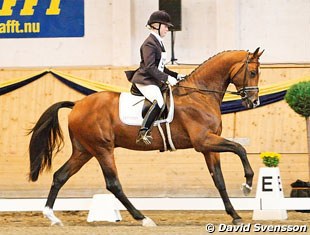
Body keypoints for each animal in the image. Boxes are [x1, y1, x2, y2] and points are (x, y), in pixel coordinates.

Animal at [27, 47, 262, 226]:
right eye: (252, 73)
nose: (253, 102)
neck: (199, 94)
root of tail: (77, 104)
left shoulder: (208, 146)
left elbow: (219, 180)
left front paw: (235, 215)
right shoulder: (203, 141)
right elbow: (240, 149)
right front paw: (247, 184)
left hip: (84, 150)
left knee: (60, 176)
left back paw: (51, 216)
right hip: (103, 149)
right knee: (113, 184)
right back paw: (143, 218)